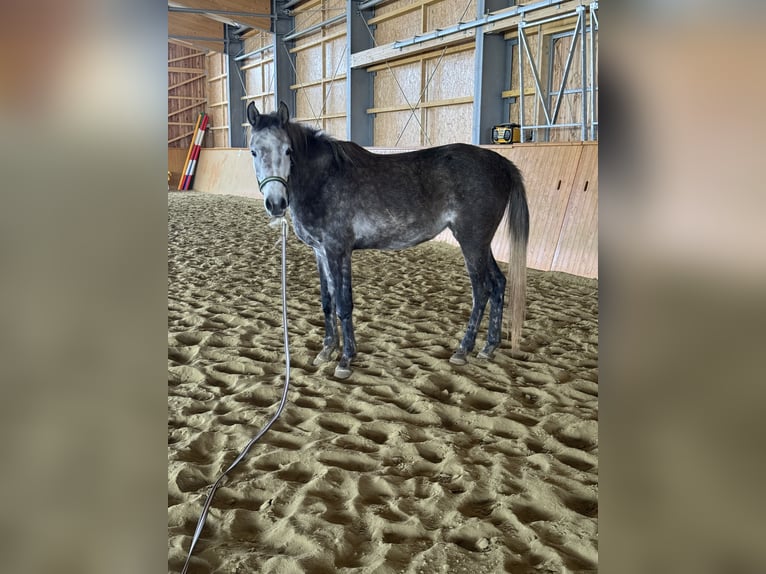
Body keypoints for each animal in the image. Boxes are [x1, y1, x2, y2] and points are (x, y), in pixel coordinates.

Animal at [247, 101, 529, 379]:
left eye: (288, 151)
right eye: (253, 152)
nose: (276, 203)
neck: (323, 179)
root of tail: (501, 163)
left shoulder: (338, 250)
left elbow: (343, 304)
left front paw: (345, 359)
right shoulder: (320, 252)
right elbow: (327, 302)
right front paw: (327, 350)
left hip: (471, 242)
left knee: (481, 291)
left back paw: (463, 350)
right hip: (482, 244)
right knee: (498, 284)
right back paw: (488, 347)